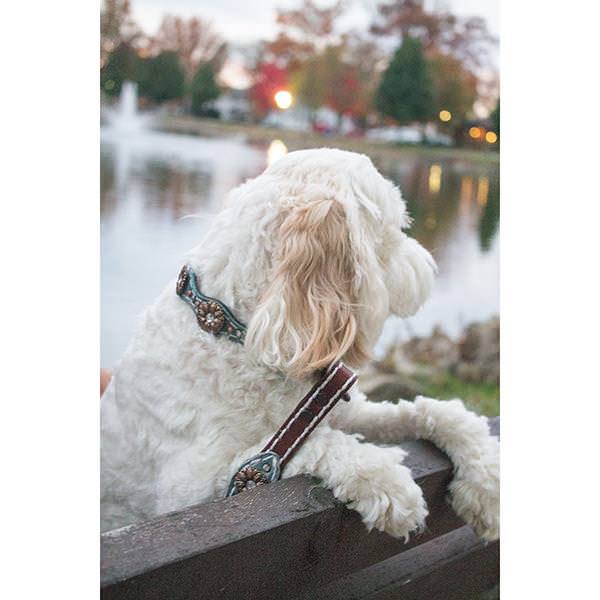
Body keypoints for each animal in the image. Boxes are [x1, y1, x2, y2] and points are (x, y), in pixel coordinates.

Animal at [101, 148, 500, 540]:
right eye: (397, 229)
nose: (430, 268)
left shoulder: (338, 411)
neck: (234, 334)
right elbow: (295, 449)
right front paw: (383, 478)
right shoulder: (192, 490)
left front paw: (486, 478)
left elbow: (426, 410)